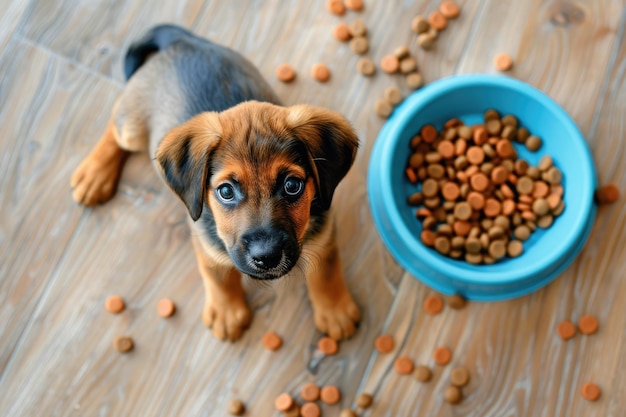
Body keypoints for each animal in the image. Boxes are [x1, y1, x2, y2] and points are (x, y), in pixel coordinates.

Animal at [69, 24, 358, 340]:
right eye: (226, 191)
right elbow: (218, 275)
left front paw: (334, 309)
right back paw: (94, 174)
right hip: (132, 128)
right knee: (114, 125)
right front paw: (227, 311)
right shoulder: (207, 241)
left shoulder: (324, 230)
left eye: (292, 186)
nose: (267, 257)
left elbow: (326, 270)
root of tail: (182, 40)